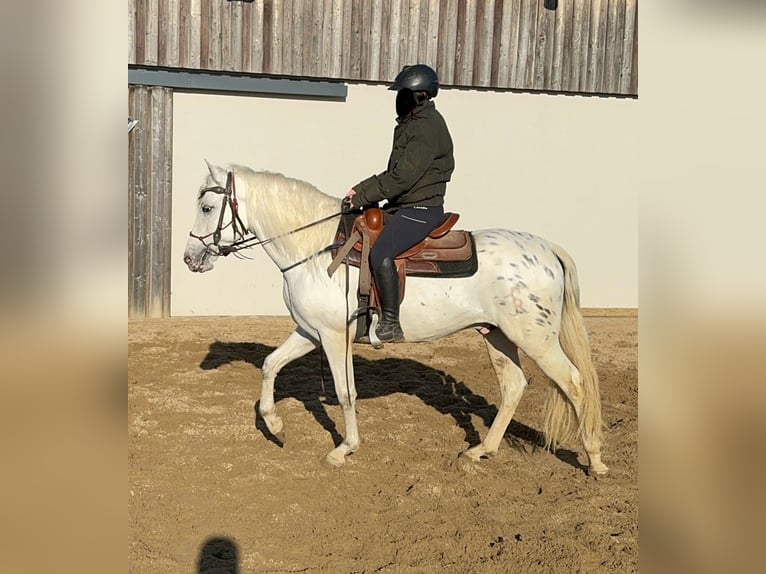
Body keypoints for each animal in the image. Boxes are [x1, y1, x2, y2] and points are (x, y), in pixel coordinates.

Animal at [183, 161, 608, 476]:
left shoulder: (334, 336)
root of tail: (547, 249)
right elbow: (271, 365)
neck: (317, 249)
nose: (190, 259)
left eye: (206, 208)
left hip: (536, 339)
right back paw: (480, 451)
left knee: (574, 383)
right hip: (497, 335)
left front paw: (344, 449)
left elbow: (345, 393)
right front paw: (275, 426)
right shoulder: (311, 331)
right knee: (514, 386)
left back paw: (594, 459)